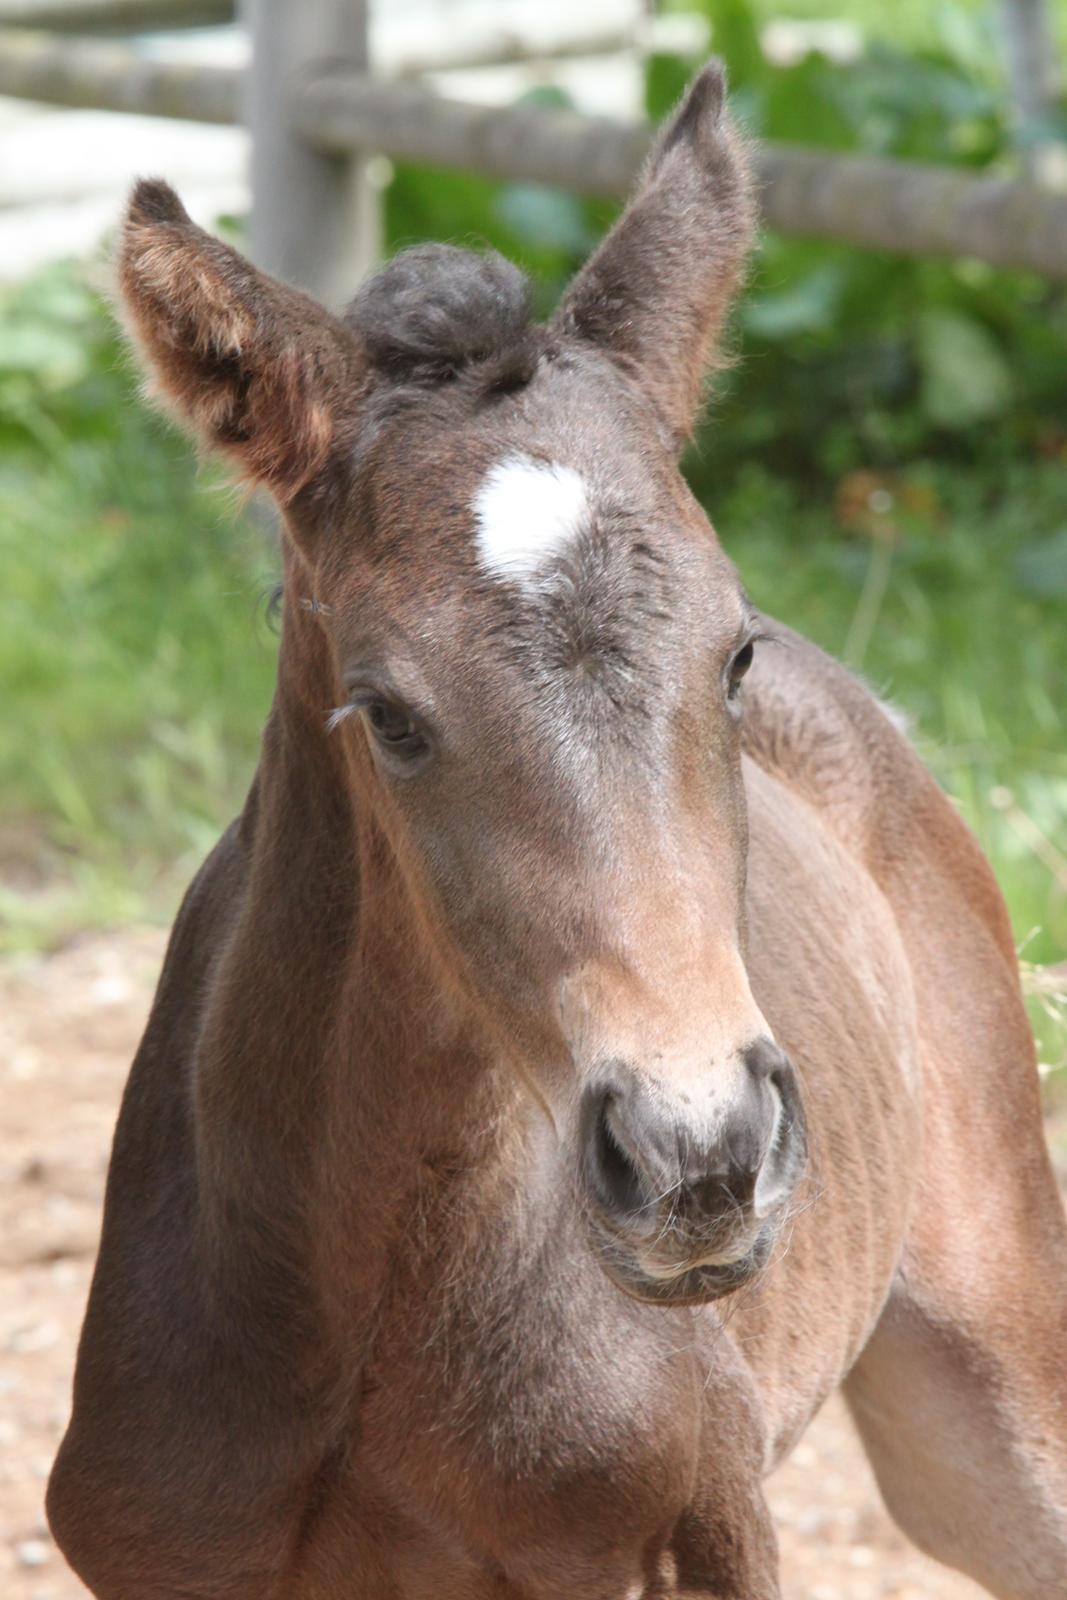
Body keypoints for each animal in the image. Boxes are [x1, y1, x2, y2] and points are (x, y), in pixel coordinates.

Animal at [45, 65, 1067, 1600]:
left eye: (732, 655)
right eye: (386, 714)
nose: (697, 1155)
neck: (362, 1320)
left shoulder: (698, 1542)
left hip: (994, 1399)